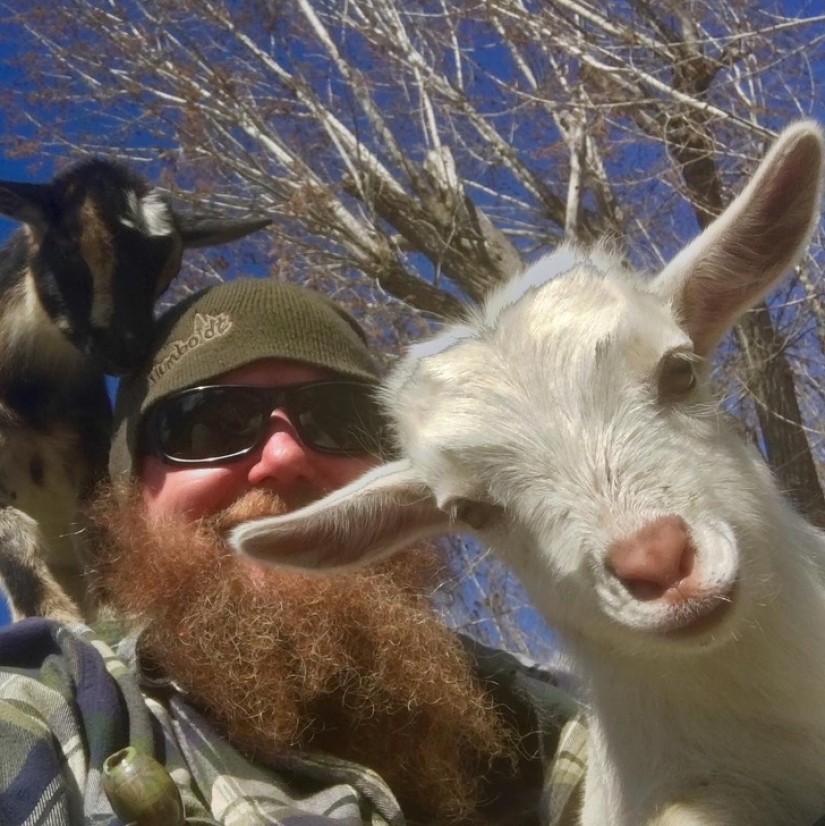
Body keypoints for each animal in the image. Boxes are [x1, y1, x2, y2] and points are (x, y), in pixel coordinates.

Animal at [0, 157, 269, 621]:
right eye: (66, 247)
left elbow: (97, 534)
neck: (29, 394)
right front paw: (60, 622)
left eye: (170, 271)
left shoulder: (91, 454)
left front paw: (117, 618)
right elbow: (15, 542)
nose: (125, 353)